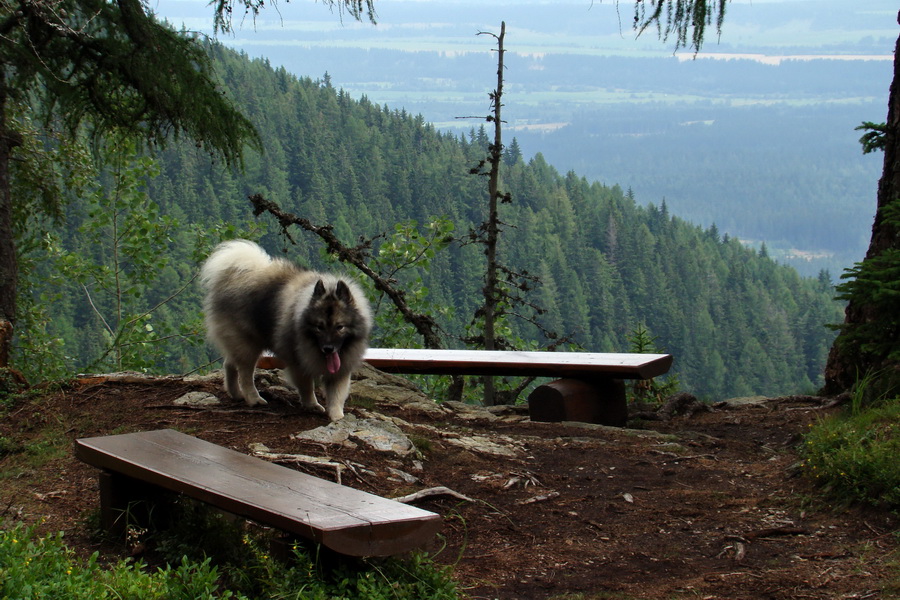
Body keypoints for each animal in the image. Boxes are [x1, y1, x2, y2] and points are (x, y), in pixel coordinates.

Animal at [201, 239, 372, 422]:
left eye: (340, 327)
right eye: (319, 327)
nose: (328, 348)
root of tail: (234, 275)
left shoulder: (342, 367)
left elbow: (337, 393)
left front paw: (337, 416)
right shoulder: (298, 363)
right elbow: (307, 386)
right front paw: (312, 405)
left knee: (230, 364)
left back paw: (236, 394)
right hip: (248, 345)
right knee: (245, 374)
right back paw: (253, 398)